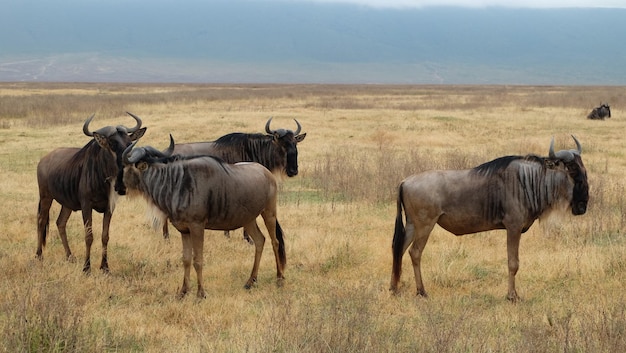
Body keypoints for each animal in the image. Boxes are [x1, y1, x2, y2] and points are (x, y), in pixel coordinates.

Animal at [37, 113, 147, 272]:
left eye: (129, 143)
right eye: (112, 144)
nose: (129, 165)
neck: (102, 177)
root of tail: (43, 160)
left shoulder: (109, 208)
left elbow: (105, 236)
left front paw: (105, 267)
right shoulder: (86, 206)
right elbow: (89, 236)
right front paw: (86, 268)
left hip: (67, 204)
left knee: (60, 223)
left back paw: (70, 257)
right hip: (45, 197)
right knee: (41, 221)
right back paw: (39, 256)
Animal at [121, 135, 286, 296]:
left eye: (125, 168)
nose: (120, 188)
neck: (176, 185)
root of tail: (266, 172)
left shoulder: (197, 227)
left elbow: (198, 260)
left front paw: (201, 293)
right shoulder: (184, 230)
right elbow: (186, 259)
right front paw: (183, 291)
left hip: (269, 213)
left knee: (275, 242)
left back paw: (279, 278)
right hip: (248, 219)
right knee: (260, 240)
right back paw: (251, 281)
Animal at [388, 136, 588, 302]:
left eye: (583, 167)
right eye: (571, 169)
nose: (582, 206)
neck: (528, 181)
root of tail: (404, 182)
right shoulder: (513, 227)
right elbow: (513, 263)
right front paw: (512, 296)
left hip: (412, 225)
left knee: (399, 250)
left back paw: (394, 289)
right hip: (425, 225)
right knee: (415, 253)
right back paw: (421, 292)